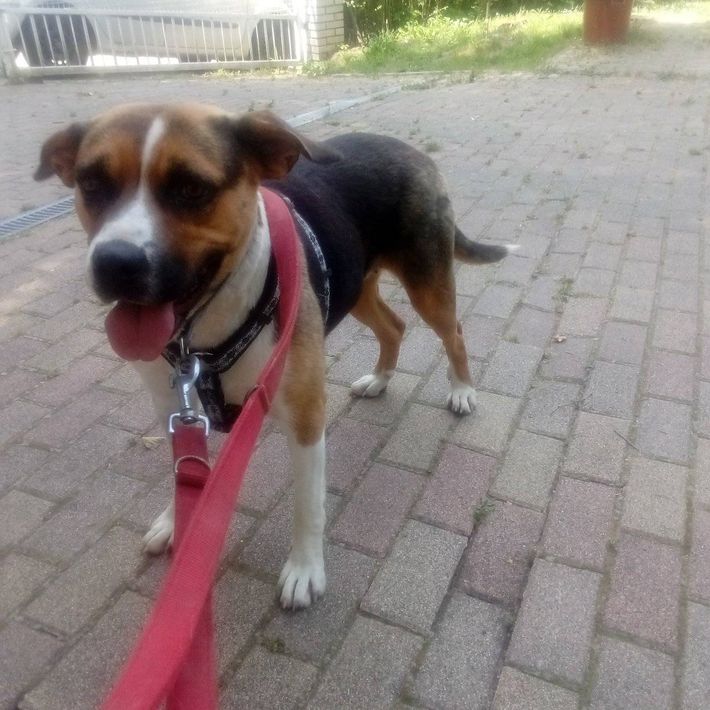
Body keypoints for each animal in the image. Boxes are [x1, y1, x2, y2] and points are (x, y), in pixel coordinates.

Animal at [35, 103, 512, 609]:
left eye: (191, 188)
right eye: (91, 184)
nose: (114, 263)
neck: (203, 331)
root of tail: (410, 149)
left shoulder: (305, 417)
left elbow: (308, 504)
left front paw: (304, 570)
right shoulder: (171, 408)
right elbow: (182, 466)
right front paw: (175, 519)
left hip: (427, 282)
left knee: (452, 332)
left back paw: (462, 390)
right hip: (355, 285)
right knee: (394, 326)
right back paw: (380, 378)